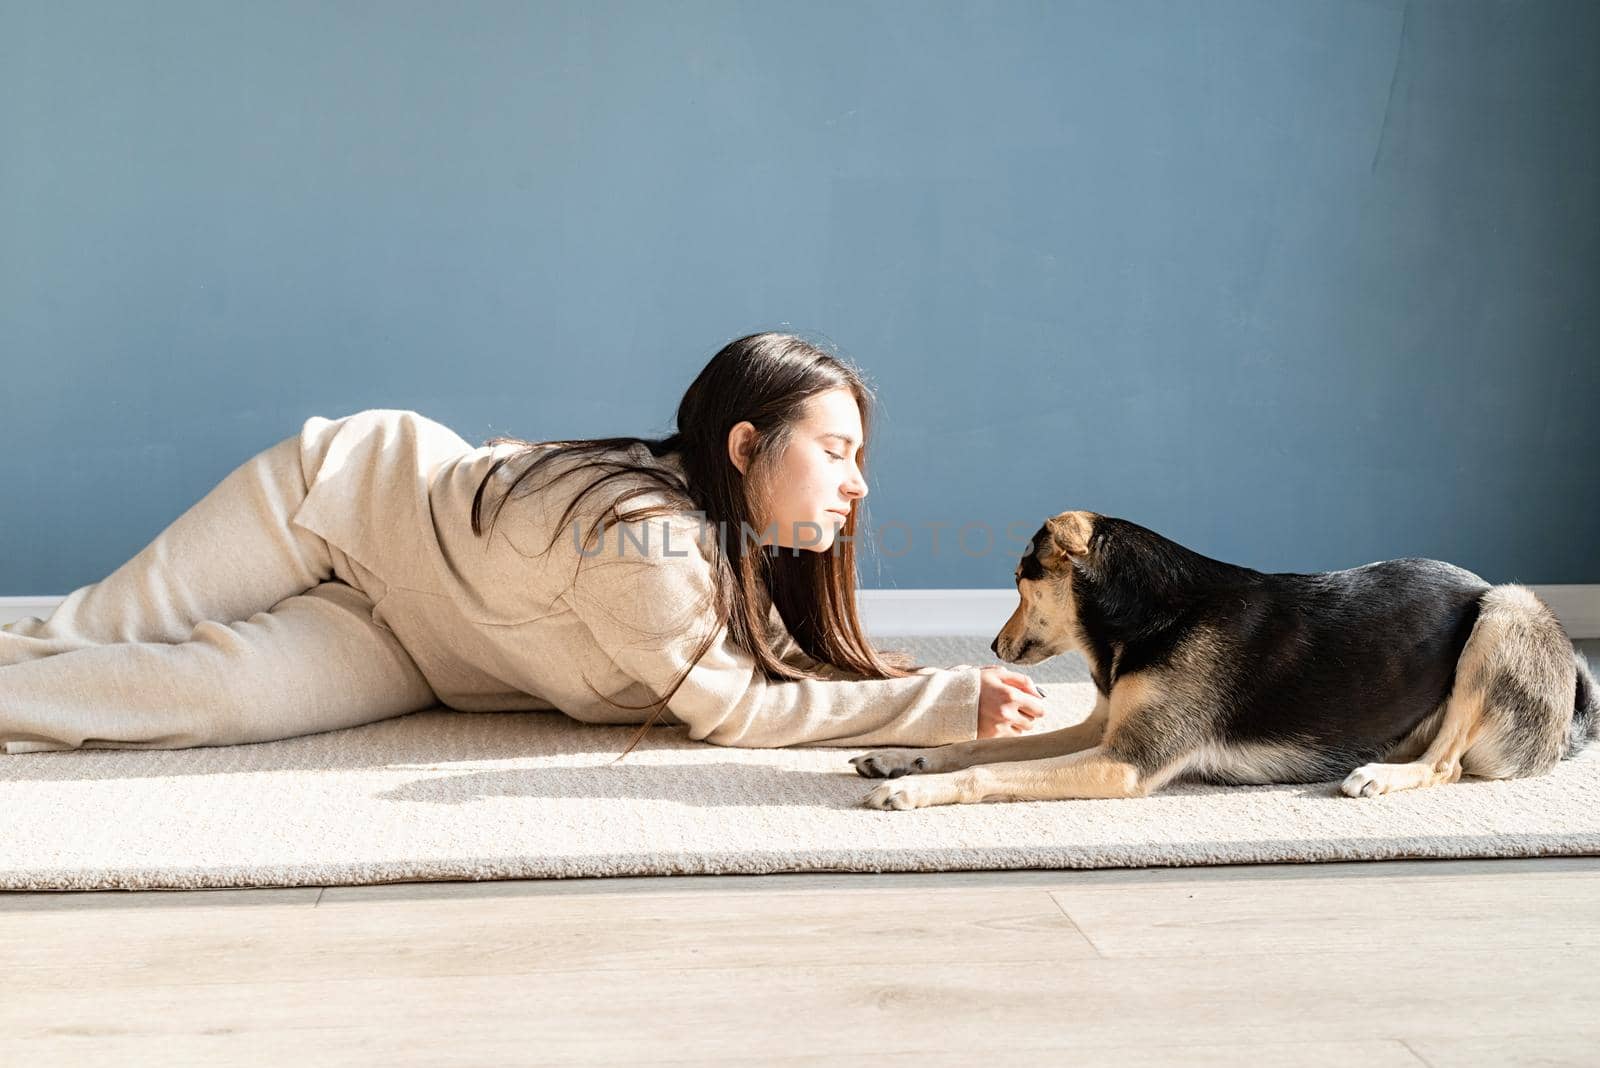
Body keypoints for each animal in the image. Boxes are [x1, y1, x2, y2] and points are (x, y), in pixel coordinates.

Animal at [857, 511, 1593, 808]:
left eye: (1020, 579)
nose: (992, 648)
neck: (1150, 614)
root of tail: (1571, 723)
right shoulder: (1104, 731)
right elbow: (975, 748)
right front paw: (900, 758)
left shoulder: (1126, 762)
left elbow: (987, 772)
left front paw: (909, 789)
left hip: (1507, 608)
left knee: (1446, 764)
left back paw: (1380, 777)